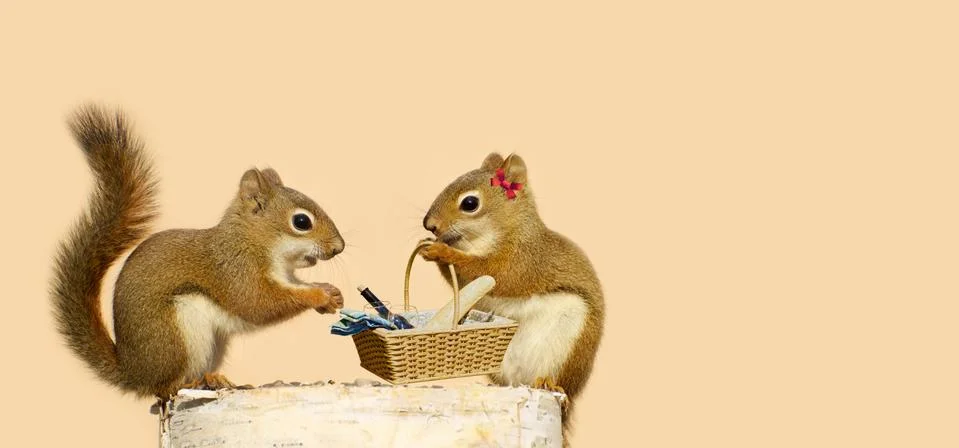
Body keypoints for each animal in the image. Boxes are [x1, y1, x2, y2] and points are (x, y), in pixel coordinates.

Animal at [50, 105, 346, 399]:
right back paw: (192, 383)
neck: (253, 242)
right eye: (301, 222)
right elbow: (259, 303)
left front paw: (331, 294)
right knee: (164, 388)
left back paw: (216, 379)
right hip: (178, 335)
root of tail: (134, 372)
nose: (338, 247)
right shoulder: (236, 271)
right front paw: (319, 296)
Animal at [420, 152, 605, 437]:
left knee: (560, 383)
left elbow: (491, 274)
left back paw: (549, 383)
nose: (429, 225)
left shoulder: (523, 261)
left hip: (569, 348)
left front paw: (443, 251)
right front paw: (429, 247)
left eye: (470, 203)